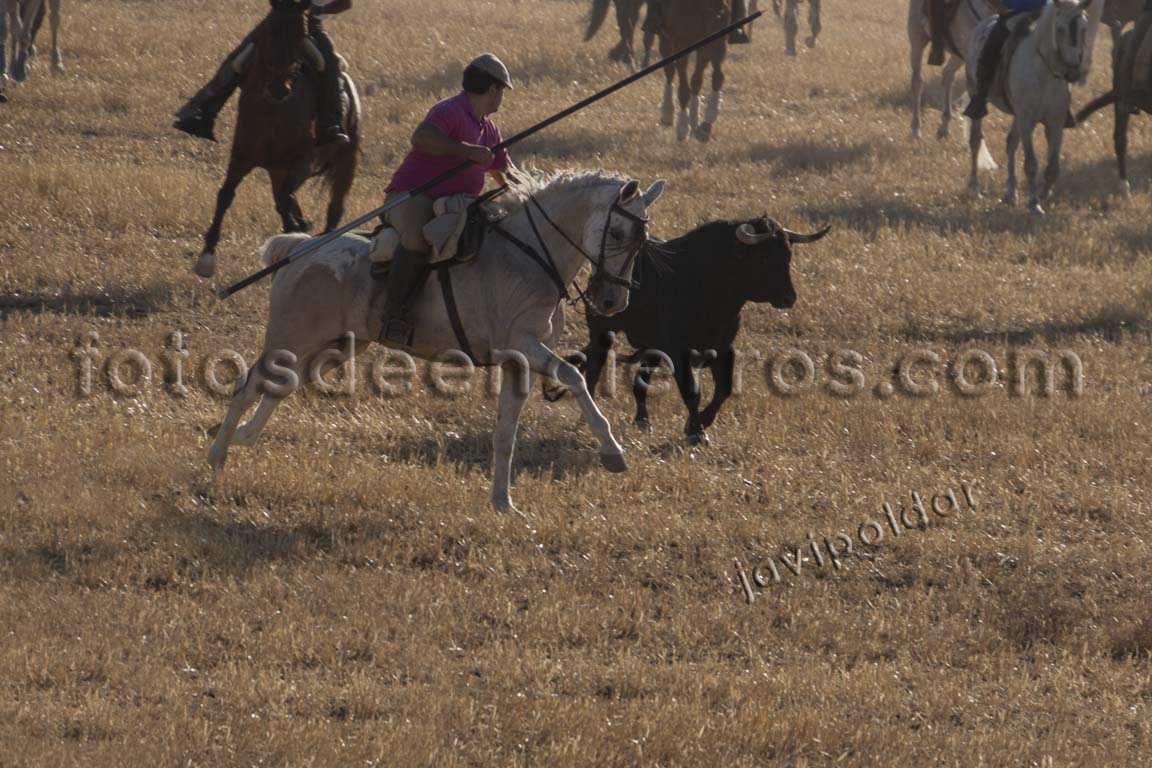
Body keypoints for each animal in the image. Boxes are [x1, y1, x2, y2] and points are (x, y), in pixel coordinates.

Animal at [193, 3, 360, 279]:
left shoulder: (302, 162)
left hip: (346, 159)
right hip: (276, 170)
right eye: (268, 32)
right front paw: (206, 257)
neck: (273, 112)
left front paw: (296, 230)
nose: (278, 89)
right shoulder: (241, 157)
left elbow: (284, 200)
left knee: (333, 207)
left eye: (300, 37)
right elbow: (225, 194)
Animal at [206, 170, 666, 515]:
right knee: (247, 386)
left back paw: (241, 437)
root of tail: (299, 250)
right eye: (617, 232)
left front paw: (503, 503)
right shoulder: (525, 346)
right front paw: (613, 453)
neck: (532, 254)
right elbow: (574, 376)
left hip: (333, 347)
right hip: (291, 340)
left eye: (642, 240)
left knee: (278, 388)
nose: (612, 301)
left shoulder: (518, 362)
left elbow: (505, 434)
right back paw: (216, 460)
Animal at [552, 215, 831, 446]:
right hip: (603, 332)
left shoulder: (722, 347)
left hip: (651, 346)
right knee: (594, 371)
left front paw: (701, 423)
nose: (789, 298)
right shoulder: (678, 350)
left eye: (788, 255)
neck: (707, 283)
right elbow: (692, 391)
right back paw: (588, 419)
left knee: (641, 379)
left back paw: (642, 421)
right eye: (763, 258)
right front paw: (696, 432)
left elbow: (725, 388)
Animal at [653, 0, 731, 142]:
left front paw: (705, 125)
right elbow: (684, 87)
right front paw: (683, 128)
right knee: (669, 72)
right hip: (666, 40)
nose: (718, 10)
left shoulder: (717, 40)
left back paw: (693, 121)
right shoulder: (681, 43)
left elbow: (715, 77)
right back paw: (668, 113)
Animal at [965, 0, 1099, 215]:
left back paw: (1010, 194)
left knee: (1011, 143)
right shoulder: (1027, 119)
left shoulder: (1055, 122)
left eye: (1084, 28)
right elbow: (1031, 163)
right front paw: (1034, 204)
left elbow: (1053, 166)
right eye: (1060, 29)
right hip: (976, 96)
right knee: (976, 140)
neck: (1044, 70)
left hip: (1018, 115)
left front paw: (1045, 192)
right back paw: (974, 188)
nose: (1072, 73)